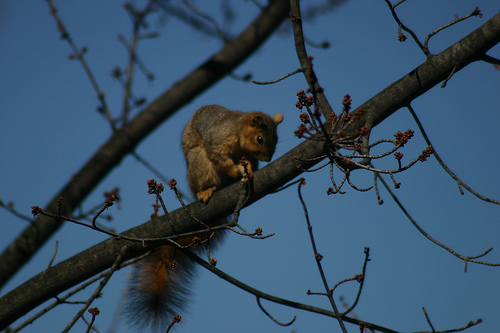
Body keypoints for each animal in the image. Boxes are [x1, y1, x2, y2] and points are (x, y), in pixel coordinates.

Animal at [123, 104, 284, 330]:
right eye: (260, 138)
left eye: (276, 138)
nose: (268, 159)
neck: (238, 130)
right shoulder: (217, 139)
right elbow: (220, 157)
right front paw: (237, 170)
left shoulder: (248, 155)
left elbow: (249, 163)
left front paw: (249, 170)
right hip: (199, 164)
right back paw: (206, 191)